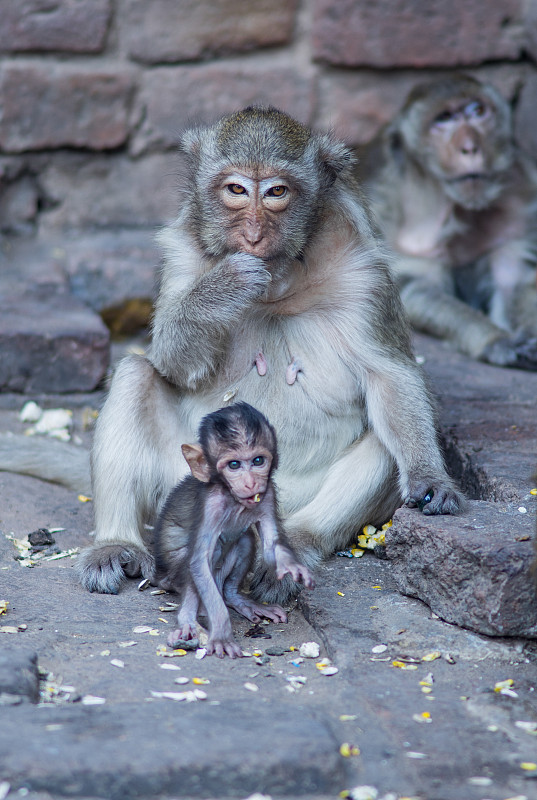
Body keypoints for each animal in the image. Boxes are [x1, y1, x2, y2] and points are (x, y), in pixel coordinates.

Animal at [1, 106, 464, 596]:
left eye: (277, 192)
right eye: (237, 190)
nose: (254, 234)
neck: (279, 286)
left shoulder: (365, 273)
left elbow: (390, 376)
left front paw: (431, 477)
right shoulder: (182, 255)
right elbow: (173, 364)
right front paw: (222, 288)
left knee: (381, 440)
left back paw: (291, 549)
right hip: (184, 478)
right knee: (134, 374)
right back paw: (115, 544)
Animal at [153, 404, 312, 660]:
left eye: (258, 461)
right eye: (234, 465)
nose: (250, 483)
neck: (233, 499)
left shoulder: (267, 494)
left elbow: (270, 547)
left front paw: (291, 566)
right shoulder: (212, 505)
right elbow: (199, 562)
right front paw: (221, 634)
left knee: (244, 539)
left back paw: (235, 599)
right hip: (172, 573)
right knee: (209, 555)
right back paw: (189, 619)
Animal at [366, 75, 536, 368]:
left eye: (478, 111)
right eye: (443, 119)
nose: (470, 148)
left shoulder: (523, 196)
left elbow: (514, 279)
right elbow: (417, 288)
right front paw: (496, 340)